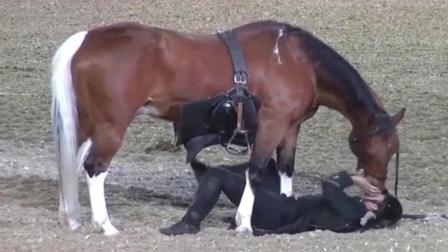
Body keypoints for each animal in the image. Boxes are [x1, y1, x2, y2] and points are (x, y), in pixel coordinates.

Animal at [50, 19, 404, 234]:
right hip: (111, 126)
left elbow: (286, 169)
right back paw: (105, 225)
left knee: (71, 162)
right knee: (94, 167)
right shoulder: (272, 123)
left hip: (87, 124)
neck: (296, 60)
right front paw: (245, 222)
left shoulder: (290, 127)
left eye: (393, 149)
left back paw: (72, 217)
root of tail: (86, 40)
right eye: (378, 145)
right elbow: (256, 169)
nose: (377, 187)